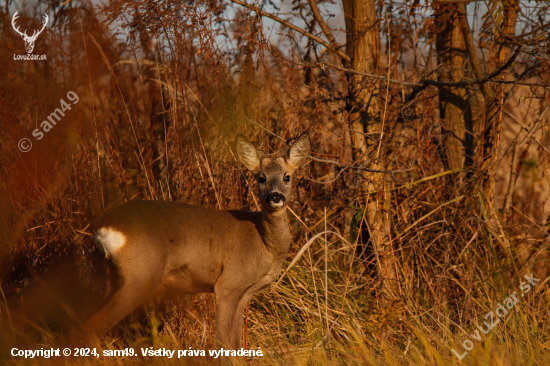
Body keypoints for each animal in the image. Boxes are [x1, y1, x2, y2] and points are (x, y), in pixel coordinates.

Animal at [86, 134, 310, 348]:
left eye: (287, 177)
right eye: (261, 178)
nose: (275, 196)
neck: (264, 243)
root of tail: (106, 228)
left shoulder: (245, 293)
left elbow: (236, 343)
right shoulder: (228, 284)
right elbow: (223, 342)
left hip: (113, 277)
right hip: (140, 275)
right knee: (95, 324)